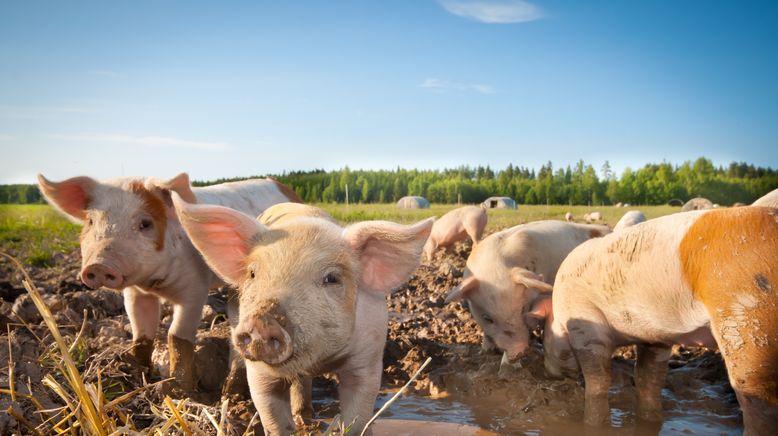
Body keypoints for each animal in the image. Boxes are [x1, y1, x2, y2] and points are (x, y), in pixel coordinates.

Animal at [38, 172, 302, 390]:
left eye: (145, 223)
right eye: (91, 222)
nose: (99, 265)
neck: (155, 284)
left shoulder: (195, 289)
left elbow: (177, 336)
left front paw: (178, 390)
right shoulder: (135, 293)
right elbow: (141, 333)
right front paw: (136, 373)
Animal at [172, 198, 434, 436]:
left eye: (331, 278)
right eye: (253, 273)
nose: (261, 322)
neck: (320, 360)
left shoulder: (368, 359)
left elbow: (358, 416)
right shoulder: (259, 373)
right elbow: (273, 419)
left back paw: (305, 416)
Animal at [540, 207, 776, 432]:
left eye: (544, 337)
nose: (547, 372)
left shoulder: (585, 325)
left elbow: (598, 380)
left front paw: (593, 424)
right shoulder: (655, 337)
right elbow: (648, 379)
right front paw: (649, 421)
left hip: (747, 319)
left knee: (757, 399)